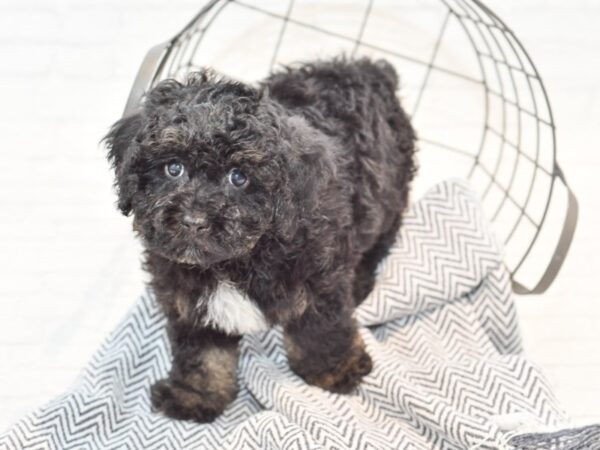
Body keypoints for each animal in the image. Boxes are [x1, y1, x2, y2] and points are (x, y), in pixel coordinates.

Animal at [105, 58, 414, 424]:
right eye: (173, 168)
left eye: (238, 177)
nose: (193, 221)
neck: (237, 260)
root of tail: (369, 69)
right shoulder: (190, 301)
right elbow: (202, 353)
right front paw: (195, 395)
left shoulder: (319, 283)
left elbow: (321, 330)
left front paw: (336, 370)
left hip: (389, 195)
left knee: (378, 241)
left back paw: (361, 281)